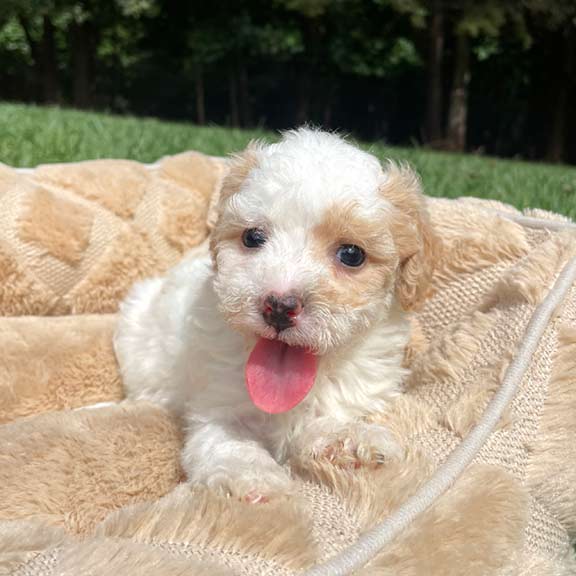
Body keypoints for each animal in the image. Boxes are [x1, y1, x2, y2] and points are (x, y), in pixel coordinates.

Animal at [113, 128, 436, 502]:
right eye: (253, 237)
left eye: (351, 254)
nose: (279, 306)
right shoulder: (218, 405)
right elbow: (228, 442)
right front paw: (253, 477)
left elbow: (325, 419)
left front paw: (353, 439)